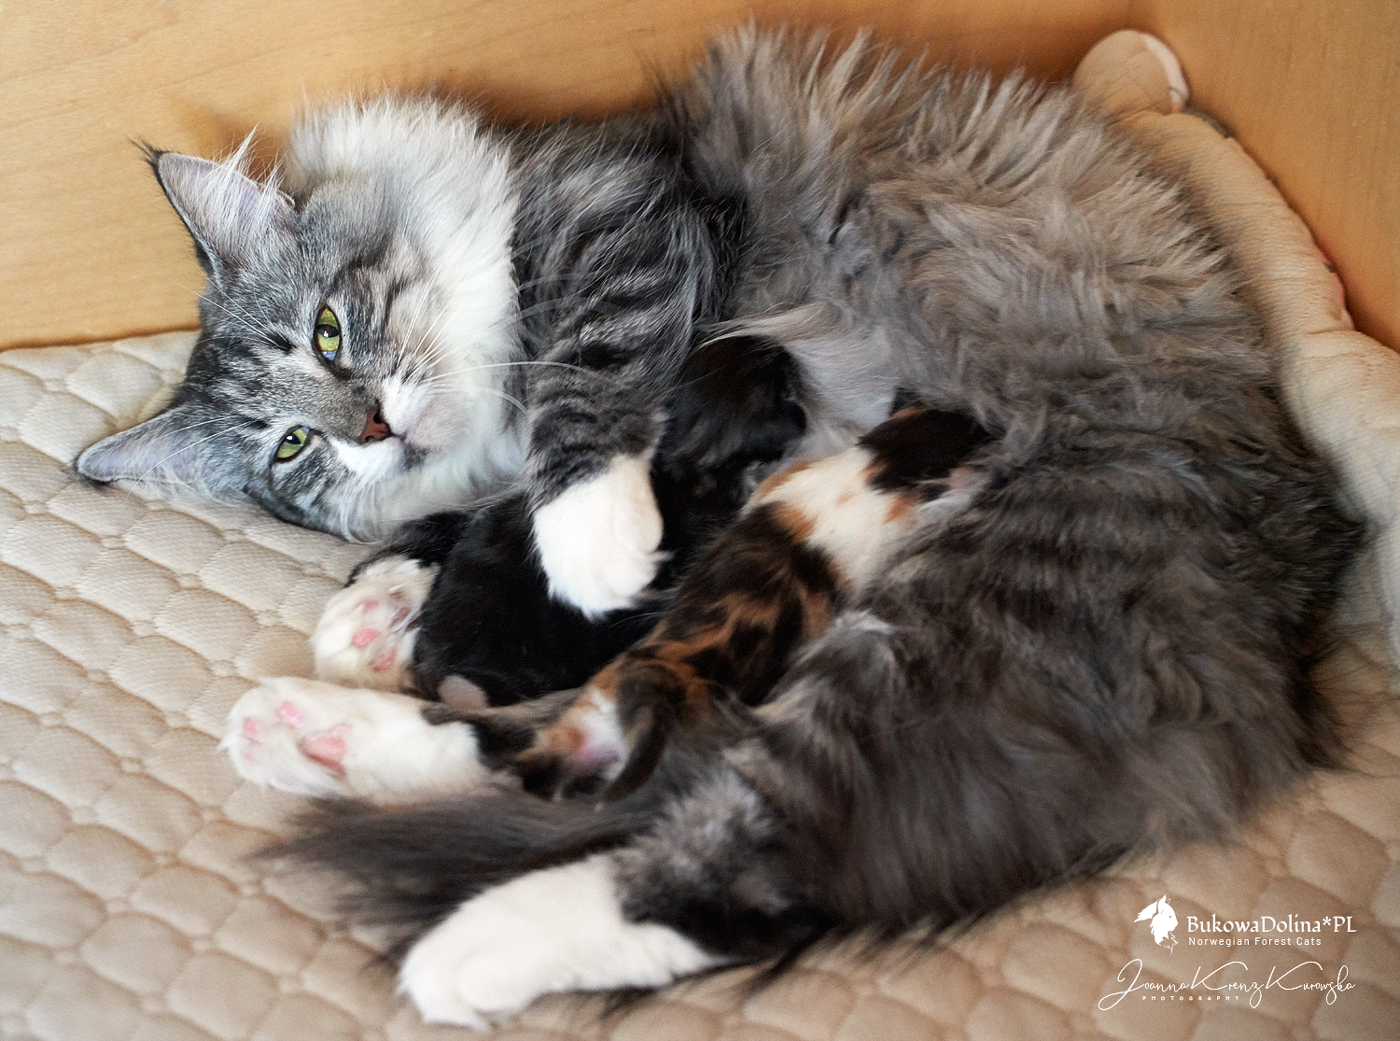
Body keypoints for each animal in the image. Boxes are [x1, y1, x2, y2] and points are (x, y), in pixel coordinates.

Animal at [75, 28, 1361, 1029]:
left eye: (329, 333)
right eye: (293, 448)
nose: (373, 425)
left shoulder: (625, 223)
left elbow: (578, 401)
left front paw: (578, 541)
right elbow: (494, 509)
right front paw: (383, 607)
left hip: (984, 611)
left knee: (735, 844)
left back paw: (463, 937)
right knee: (612, 760)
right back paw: (319, 740)